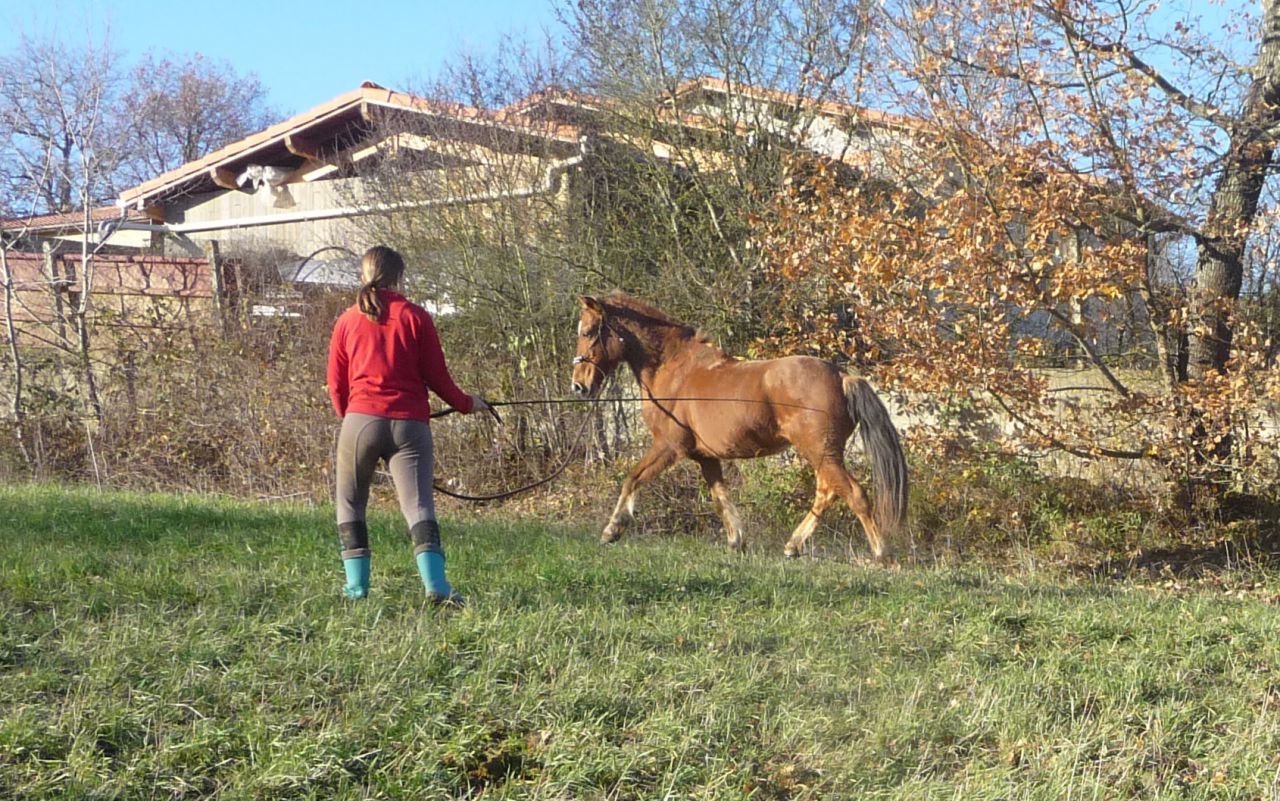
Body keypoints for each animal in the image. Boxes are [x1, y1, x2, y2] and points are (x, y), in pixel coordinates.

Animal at [570, 292, 908, 559]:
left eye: (587, 331)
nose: (578, 385)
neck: (673, 369)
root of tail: (842, 376)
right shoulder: (705, 457)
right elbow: (720, 497)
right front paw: (736, 541)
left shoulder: (668, 447)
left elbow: (632, 479)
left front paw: (612, 530)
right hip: (822, 454)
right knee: (827, 493)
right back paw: (793, 546)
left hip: (820, 452)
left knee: (853, 494)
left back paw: (881, 553)